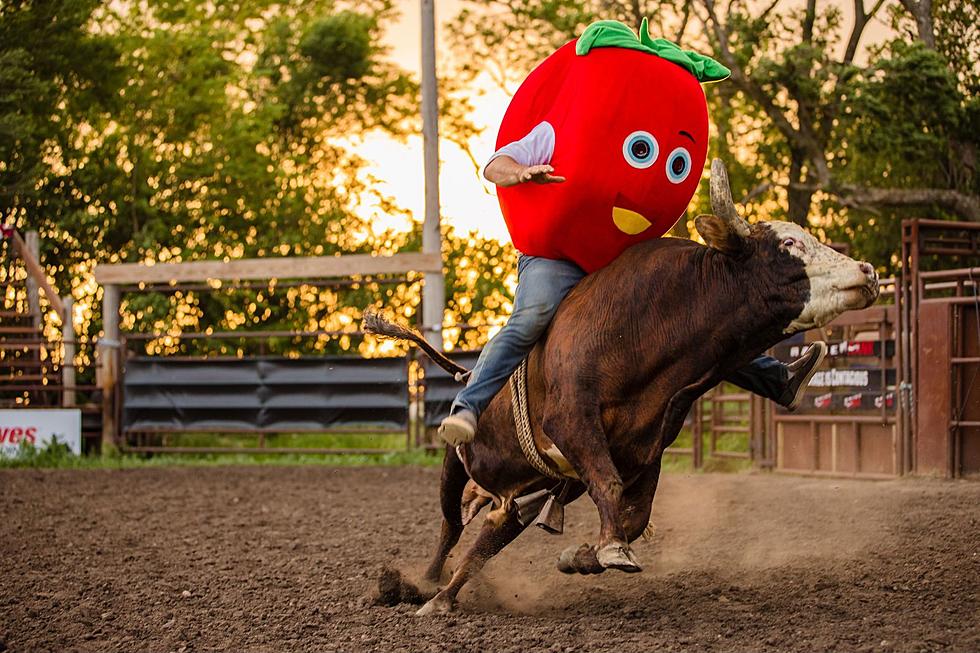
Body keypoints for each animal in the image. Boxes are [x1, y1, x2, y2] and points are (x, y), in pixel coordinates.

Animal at [368, 160, 880, 612]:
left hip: (526, 494)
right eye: (789, 242)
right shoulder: (572, 422)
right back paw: (419, 586)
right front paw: (608, 551)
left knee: (485, 540)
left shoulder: (646, 446)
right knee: (451, 525)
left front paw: (581, 556)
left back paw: (441, 597)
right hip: (455, 463)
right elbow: (611, 489)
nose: (868, 271)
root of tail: (465, 373)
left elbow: (637, 514)